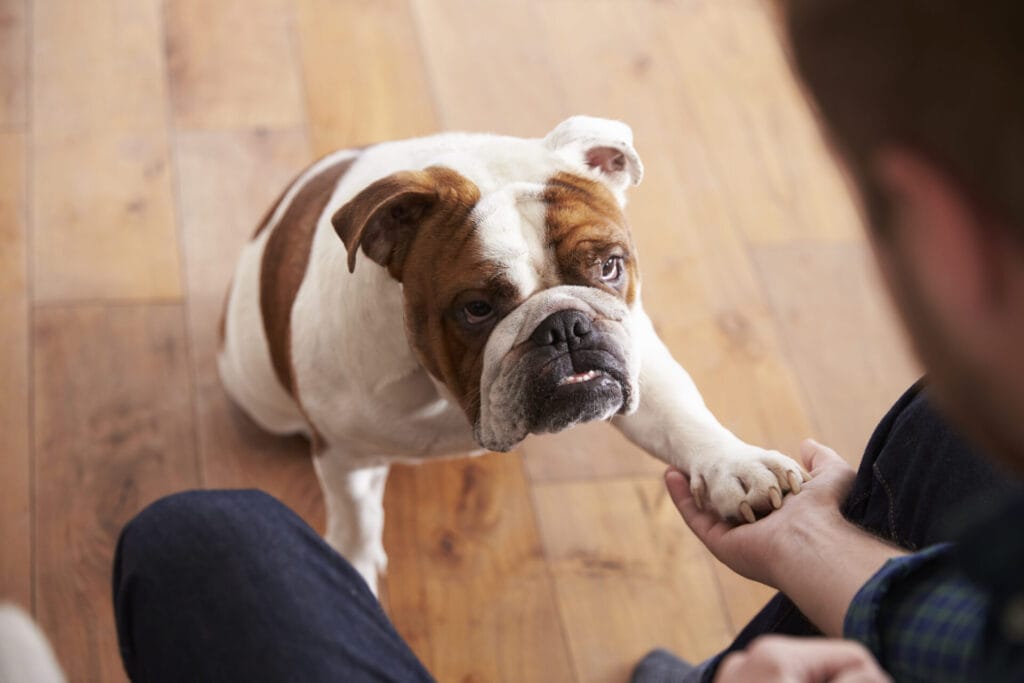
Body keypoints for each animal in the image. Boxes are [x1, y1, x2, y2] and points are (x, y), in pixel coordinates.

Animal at [218, 116, 806, 593]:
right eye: (476, 308)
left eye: (610, 266)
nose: (564, 326)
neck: (445, 395)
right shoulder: (345, 457)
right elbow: (356, 523)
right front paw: (350, 574)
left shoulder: (641, 358)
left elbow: (684, 418)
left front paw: (737, 467)